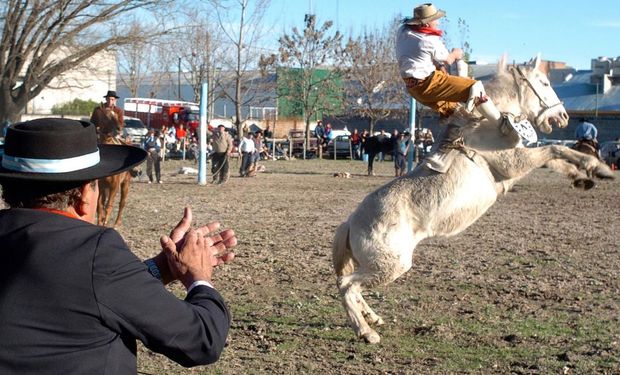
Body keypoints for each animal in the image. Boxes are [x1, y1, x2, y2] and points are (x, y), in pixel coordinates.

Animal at [332, 55, 612, 344]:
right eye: (544, 83)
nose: (563, 116)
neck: (490, 124)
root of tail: (351, 223)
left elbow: (555, 159)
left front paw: (591, 175)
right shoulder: (513, 163)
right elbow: (555, 150)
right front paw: (595, 165)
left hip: (377, 266)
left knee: (352, 286)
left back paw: (373, 318)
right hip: (390, 265)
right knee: (347, 285)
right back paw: (366, 331)